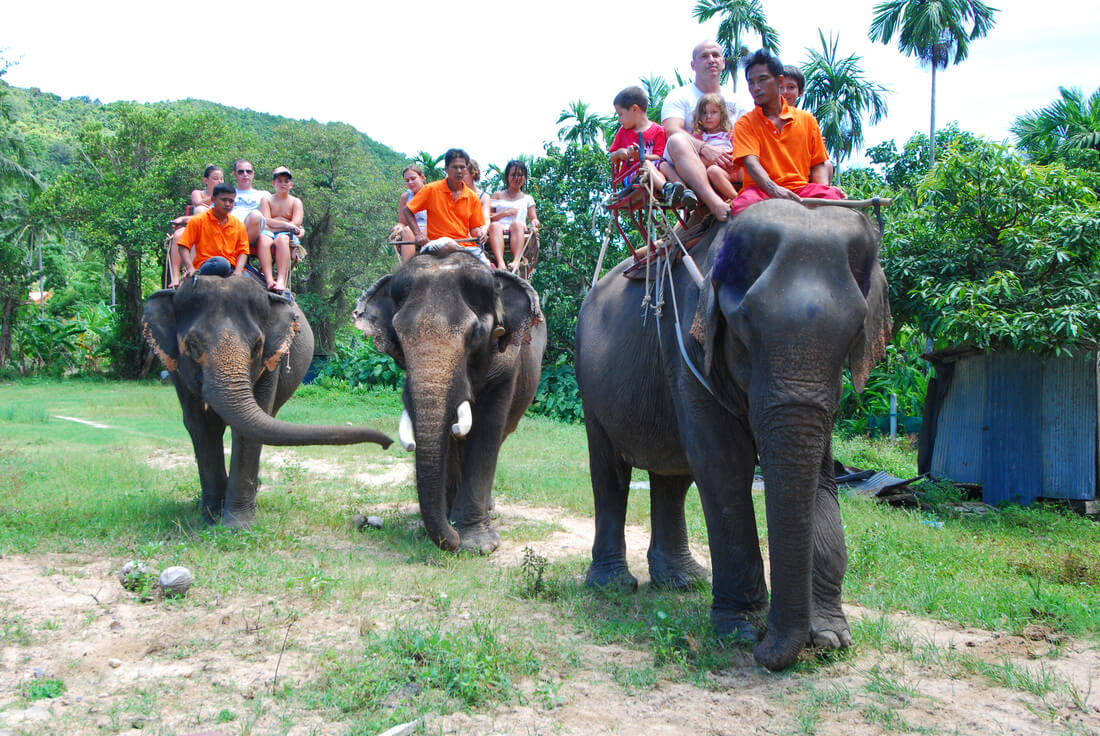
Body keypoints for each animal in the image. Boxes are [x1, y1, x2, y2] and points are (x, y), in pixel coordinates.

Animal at [142, 275, 393, 527]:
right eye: (191, 345)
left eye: (257, 346)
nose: (388, 443)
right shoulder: (175, 368)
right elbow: (200, 426)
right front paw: (210, 518)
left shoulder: (273, 362)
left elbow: (249, 430)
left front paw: (235, 525)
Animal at [354, 251, 546, 554]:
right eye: (398, 338)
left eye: (475, 334)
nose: (451, 539)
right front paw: (450, 527)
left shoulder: (506, 364)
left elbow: (487, 430)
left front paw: (477, 545)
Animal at [575, 199, 891, 671]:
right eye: (744, 331)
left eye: (854, 333)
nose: (769, 648)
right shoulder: (686, 343)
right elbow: (725, 467)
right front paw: (740, 631)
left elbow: (823, 475)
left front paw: (831, 639)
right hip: (591, 384)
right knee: (610, 471)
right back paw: (613, 586)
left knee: (673, 476)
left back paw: (683, 581)